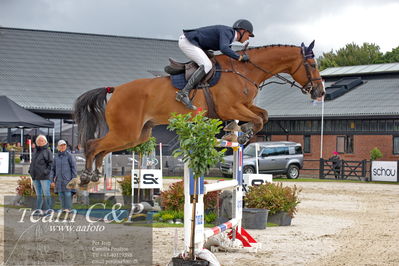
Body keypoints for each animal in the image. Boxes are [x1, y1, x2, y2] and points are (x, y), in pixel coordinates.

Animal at [74, 41, 324, 185]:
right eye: (312, 65)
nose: (320, 91)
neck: (244, 70)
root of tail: (115, 89)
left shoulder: (243, 106)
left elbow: (263, 115)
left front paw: (239, 132)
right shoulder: (230, 108)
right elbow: (258, 119)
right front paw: (242, 134)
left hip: (137, 135)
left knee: (101, 149)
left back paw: (94, 175)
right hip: (126, 132)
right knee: (94, 145)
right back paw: (86, 176)